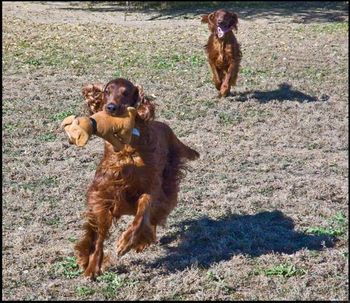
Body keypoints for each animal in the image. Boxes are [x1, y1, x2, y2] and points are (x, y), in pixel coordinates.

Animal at [76, 78, 200, 280]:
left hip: (168, 187)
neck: (127, 152)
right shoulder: (104, 194)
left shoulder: (151, 188)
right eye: (107, 91)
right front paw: (92, 267)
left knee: (154, 217)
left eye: (126, 92)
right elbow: (99, 235)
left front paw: (126, 242)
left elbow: (141, 215)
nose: (110, 107)